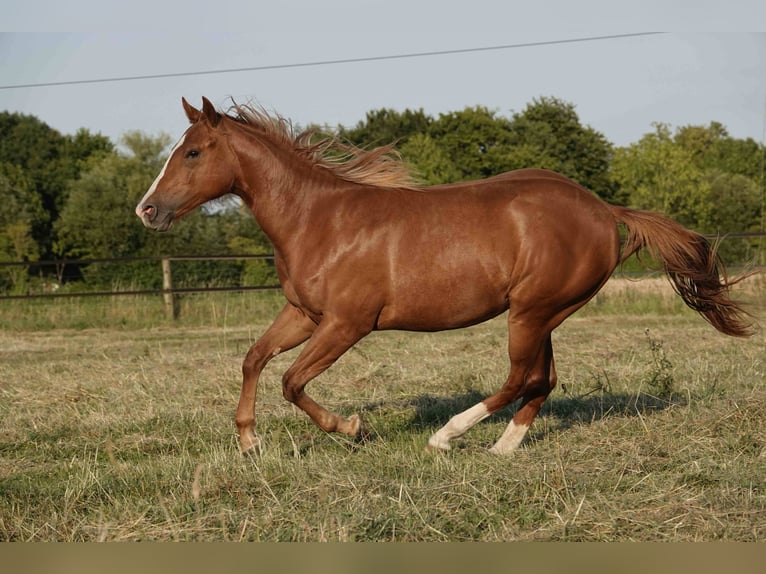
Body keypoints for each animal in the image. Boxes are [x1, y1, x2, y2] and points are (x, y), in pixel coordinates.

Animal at [136, 97, 754, 456]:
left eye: (193, 153)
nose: (147, 210)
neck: (317, 220)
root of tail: (606, 210)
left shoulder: (346, 324)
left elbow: (291, 381)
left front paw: (352, 428)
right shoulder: (304, 314)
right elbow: (254, 358)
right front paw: (248, 441)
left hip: (531, 311)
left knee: (519, 378)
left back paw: (446, 437)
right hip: (545, 314)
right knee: (542, 381)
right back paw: (502, 449)